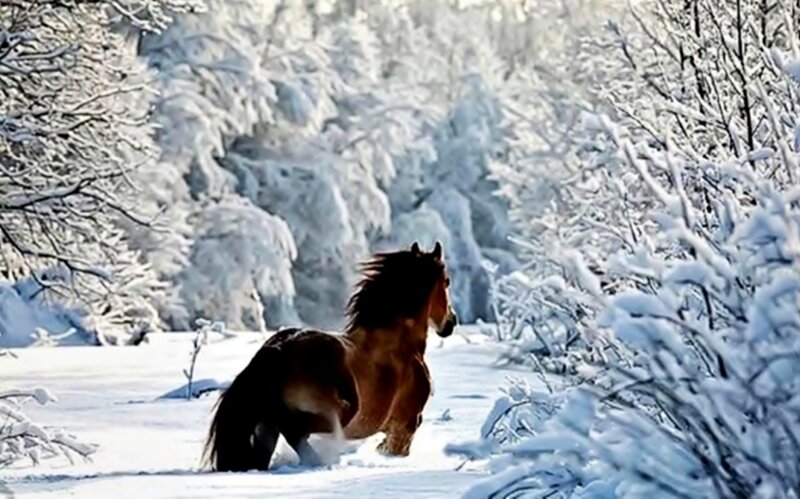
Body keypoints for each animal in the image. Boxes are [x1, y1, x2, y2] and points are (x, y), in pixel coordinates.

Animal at [202, 241, 458, 472]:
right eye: (446, 282)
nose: (451, 322)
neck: (401, 346)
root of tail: (279, 351)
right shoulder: (406, 424)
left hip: (271, 425)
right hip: (339, 414)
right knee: (294, 431)